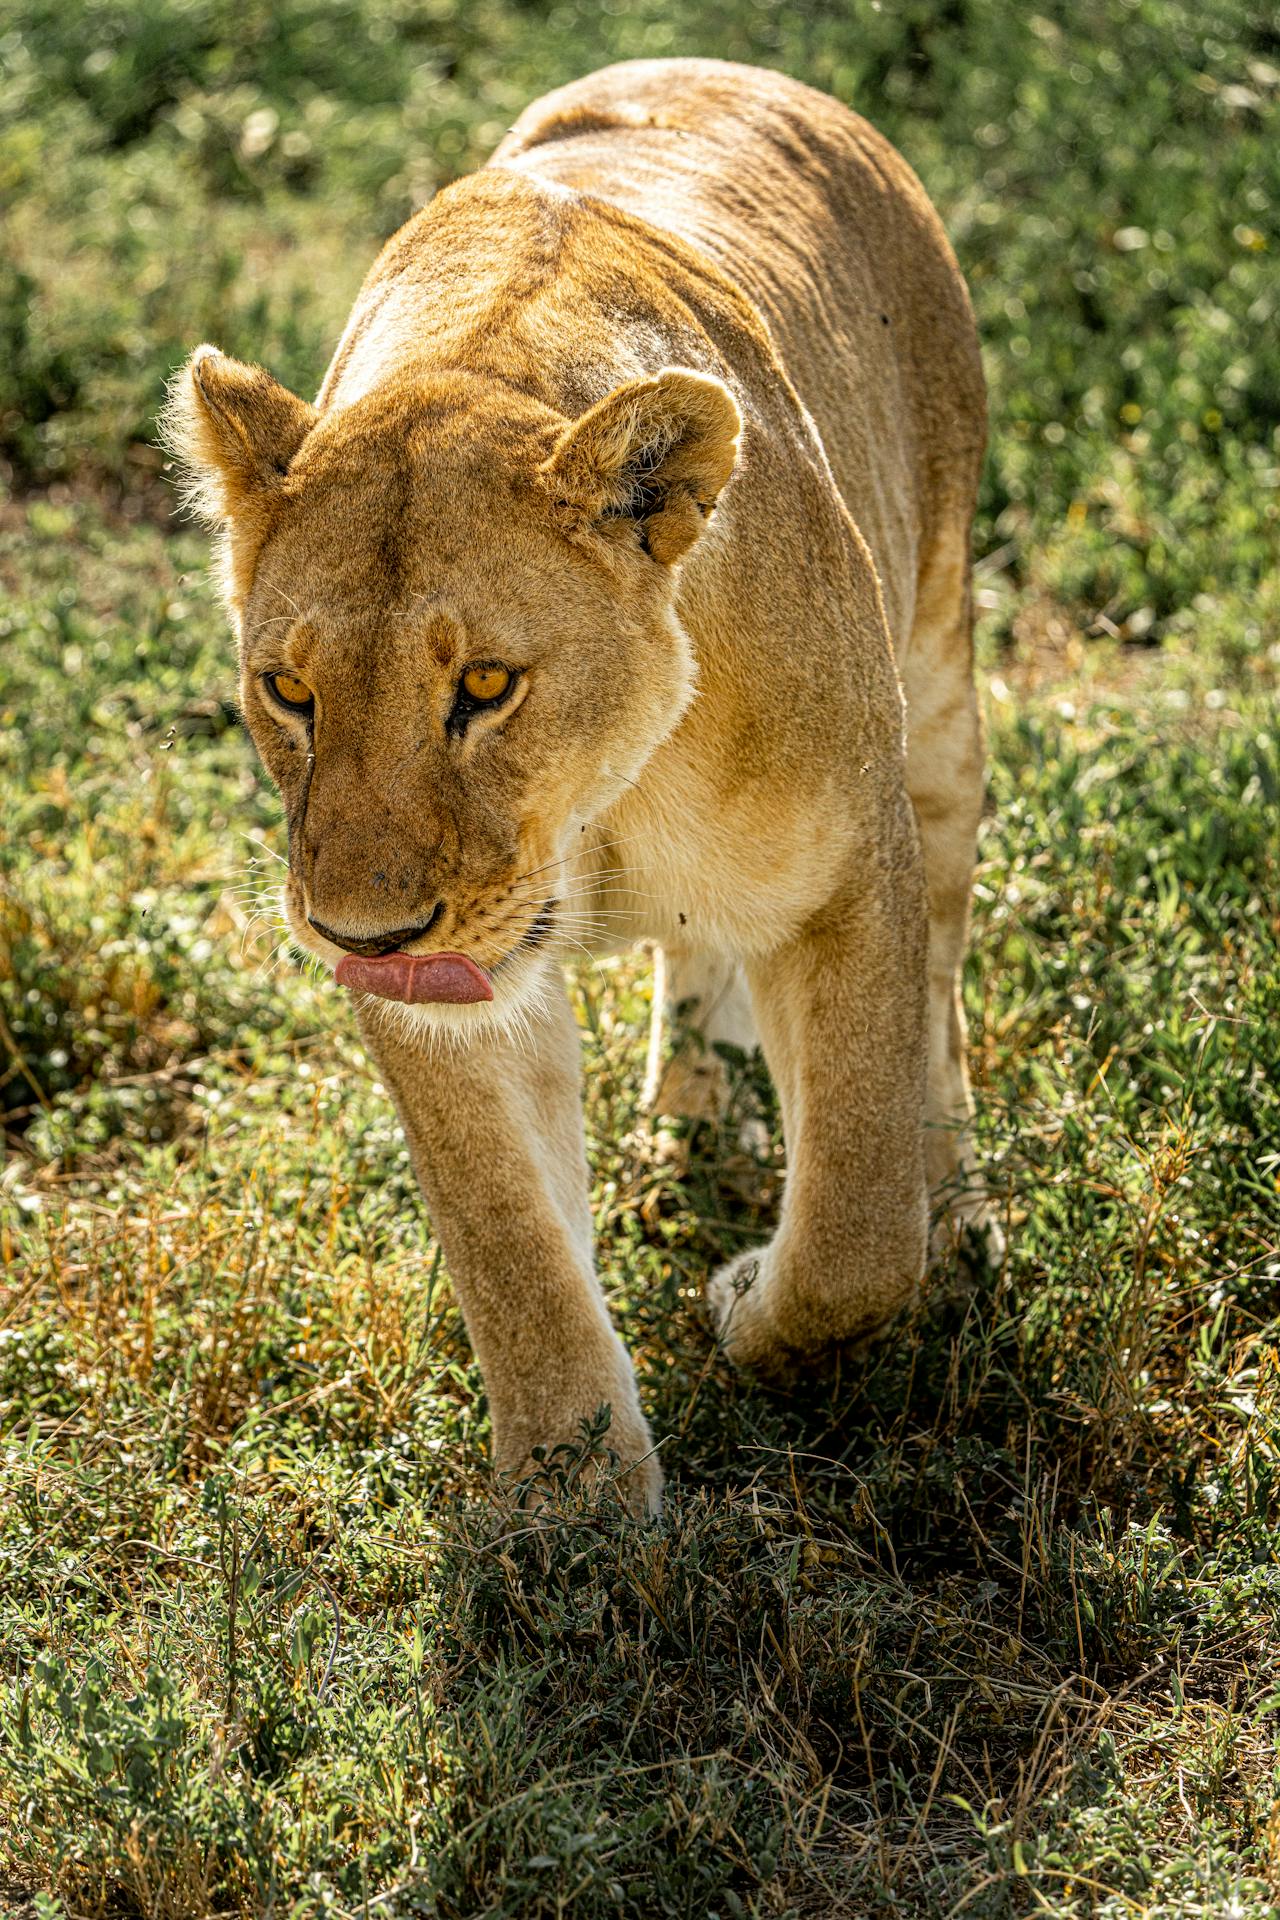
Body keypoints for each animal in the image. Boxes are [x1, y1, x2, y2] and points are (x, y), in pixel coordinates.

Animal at [165, 58, 997, 1514]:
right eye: (290, 692)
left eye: (489, 685)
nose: (365, 935)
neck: (598, 805)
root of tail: (738, 68)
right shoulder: (444, 1004)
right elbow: (510, 1244)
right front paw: (578, 1515)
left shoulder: (850, 874)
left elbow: (854, 1221)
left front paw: (747, 1306)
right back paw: (684, 1119)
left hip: (942, 683)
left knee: (941, 989)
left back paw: (956, 1212)